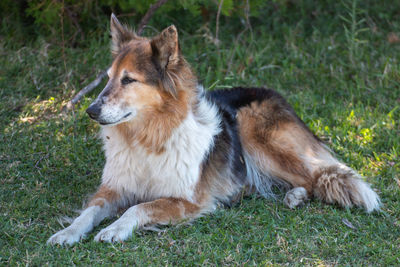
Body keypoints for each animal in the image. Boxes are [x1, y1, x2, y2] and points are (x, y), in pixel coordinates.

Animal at [47, 13, 378, 246]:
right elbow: (89, 212)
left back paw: (295, 195)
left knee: (315, 177)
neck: (147, 136)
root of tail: (276, 94)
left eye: (129, 80)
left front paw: (115, 229)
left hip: (257, 135)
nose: (90, 111)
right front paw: (68, 232)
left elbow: (138, 208)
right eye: (108, 78)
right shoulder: (114, 188)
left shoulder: (187, 200)